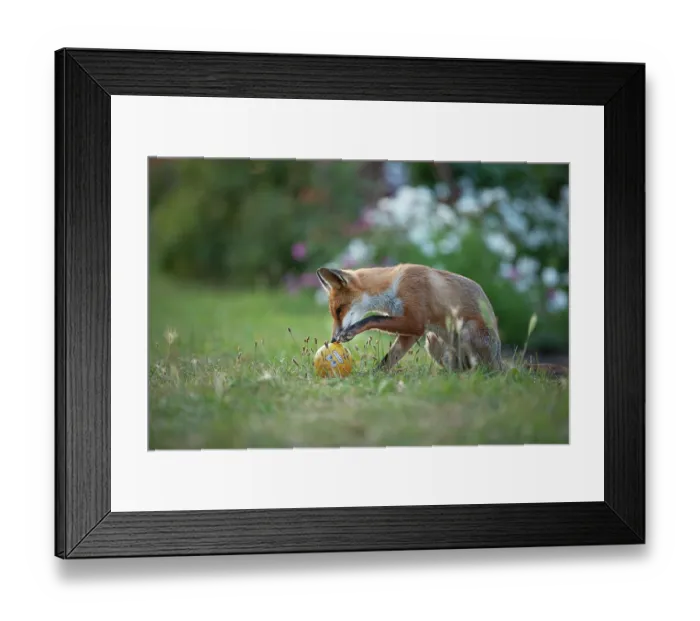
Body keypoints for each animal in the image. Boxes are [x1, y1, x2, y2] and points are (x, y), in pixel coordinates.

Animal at [316, 263, 567, 377]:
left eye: (339, 310)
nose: (333, 339)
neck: (393, 286)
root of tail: (499, 360)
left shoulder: (415, 321)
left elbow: (374, 318)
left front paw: (352, 331)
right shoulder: (413, 333)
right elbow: (390, 358)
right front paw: (373, 375)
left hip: (467, 331)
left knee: (485, 372)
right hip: (433, 340)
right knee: (458, 369)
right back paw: (448, 377)